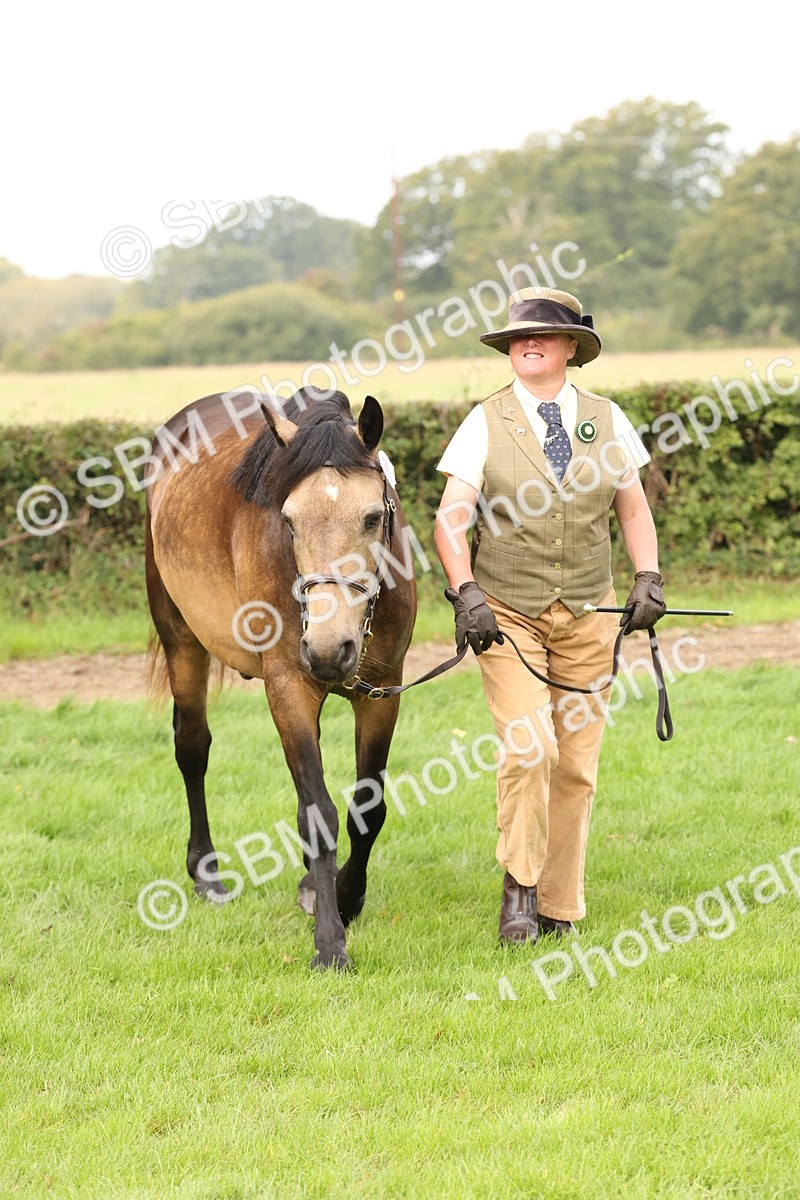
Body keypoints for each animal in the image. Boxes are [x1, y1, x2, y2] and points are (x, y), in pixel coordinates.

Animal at [145, 387, 417, 970]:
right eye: (288, 520)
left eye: (370, 518)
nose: (328, 649)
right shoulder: (290, 687)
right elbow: (317, 814)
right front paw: (330, 943)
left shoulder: (383, 693)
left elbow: (368, 808)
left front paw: (343, 896)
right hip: (180, 638)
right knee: (192, 747)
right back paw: (206, 872)